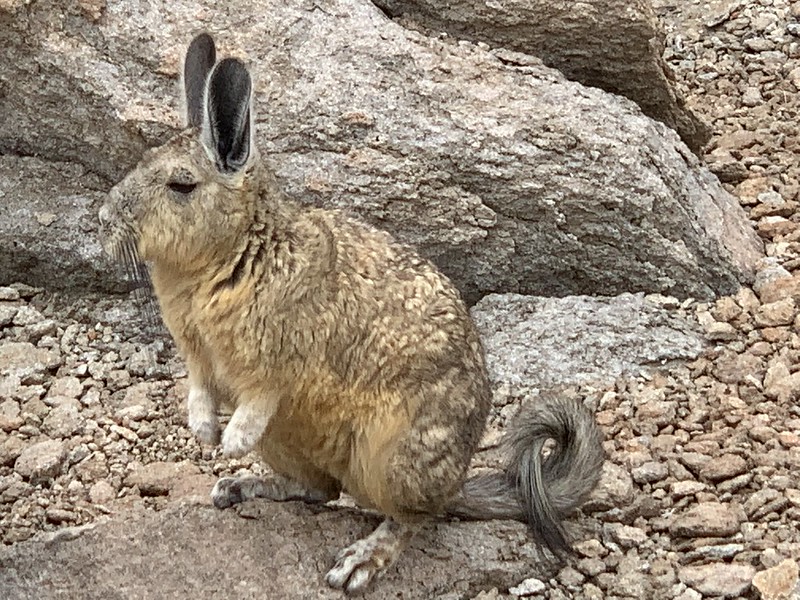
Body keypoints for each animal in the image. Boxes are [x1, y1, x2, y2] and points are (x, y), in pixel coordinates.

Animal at [98, 32, 605, 595]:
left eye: (181, 186)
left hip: (395, 458)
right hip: (292, 446)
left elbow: (258, 399)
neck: (228, 257)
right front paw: (206, 435)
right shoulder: (197, 359)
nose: (102, 219)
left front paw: (229, 443)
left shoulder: (279, 363)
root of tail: (456, 481)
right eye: (142, 161)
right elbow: (199, 393)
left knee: (412, 518)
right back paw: (237, 487)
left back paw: (356, 563)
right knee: (321, 491)